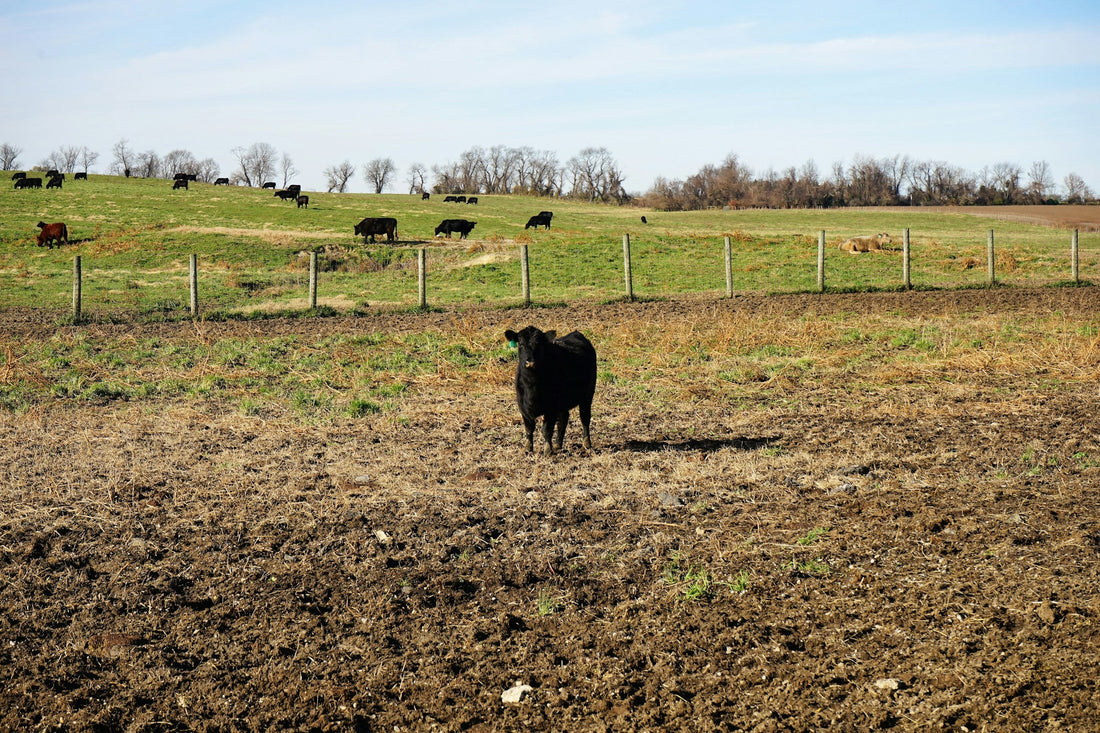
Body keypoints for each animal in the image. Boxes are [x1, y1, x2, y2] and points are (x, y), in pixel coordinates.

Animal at [504, 326, 597, 454]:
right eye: (520, 344)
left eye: (539, 344)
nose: (530, 362)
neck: (531, 387)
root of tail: (576, 334)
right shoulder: (522, 407)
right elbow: (529, 428)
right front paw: (528, 448)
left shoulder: (551, 408)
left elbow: (546, 430)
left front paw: (548, 450)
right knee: (563, 419)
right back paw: (558, 444)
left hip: (587, 395)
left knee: (584, 417)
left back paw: (586, 443)